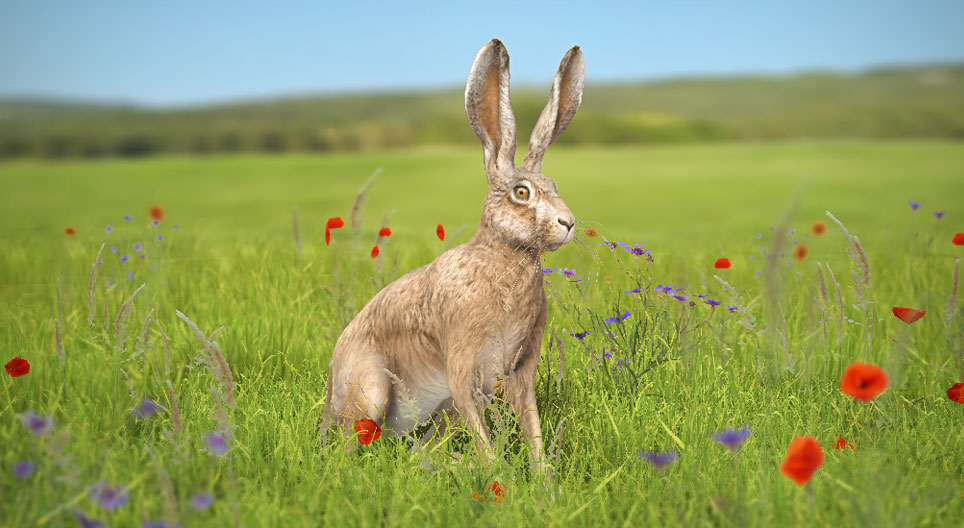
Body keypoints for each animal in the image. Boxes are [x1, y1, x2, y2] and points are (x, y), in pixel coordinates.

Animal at [322, 39, 584, 474]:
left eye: (556, 186)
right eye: (522, 192)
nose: (568, 222)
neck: (504, 256)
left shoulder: (520, 368)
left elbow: (530, 421)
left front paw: (542, 476)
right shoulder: (461, 361)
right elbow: (483, 431)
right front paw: (501, 475)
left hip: (441, 409)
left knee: (417, 450)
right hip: (372, 391)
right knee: (351, 447)